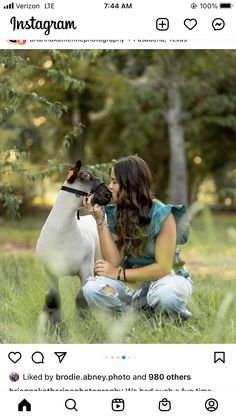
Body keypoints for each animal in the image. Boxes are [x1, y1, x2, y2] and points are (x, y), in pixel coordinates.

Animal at [36, 162, 111, 328]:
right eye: (84, 175)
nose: (108, 194)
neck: (61, 238)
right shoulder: (49, 272)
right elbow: (52, 300)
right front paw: (54, 327)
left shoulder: (86, 270)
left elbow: (81, 299)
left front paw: (82, 326)